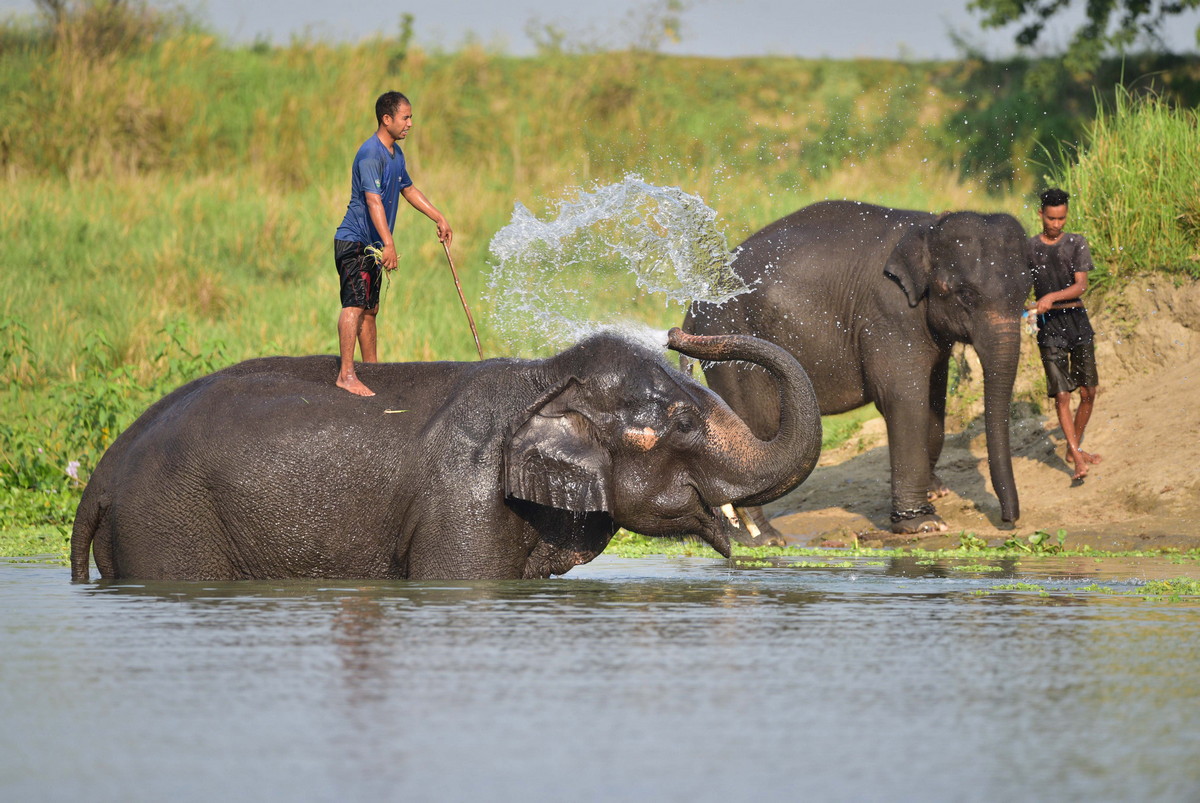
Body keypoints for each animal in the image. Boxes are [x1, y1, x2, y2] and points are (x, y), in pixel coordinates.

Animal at [70, 328, 825, 578]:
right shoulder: (462, 500)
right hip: (168, 522)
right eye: (683, 420)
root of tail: (101, 473)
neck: (545, 378)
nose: (676, 330)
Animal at [686, 200, 1032, 537]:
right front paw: (923, 524)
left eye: (1025, 291)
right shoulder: (888, 315)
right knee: (752, 430)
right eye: (965, 296)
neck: (927, 227)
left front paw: (936, 492)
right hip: (729, 345)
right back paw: (765, 539)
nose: (1008, 521)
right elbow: (903, 400)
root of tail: (690, 308)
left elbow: (934, 400)